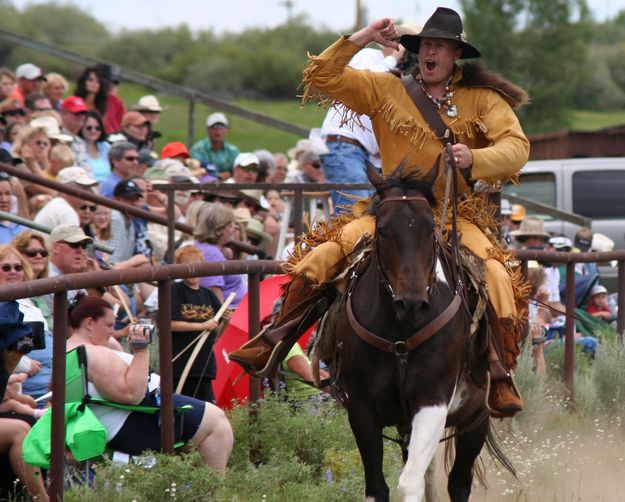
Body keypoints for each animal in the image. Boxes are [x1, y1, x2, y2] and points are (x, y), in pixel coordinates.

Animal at [326, 166, 512, 502]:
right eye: (383, 230)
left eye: (429, 230)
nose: (411, 303)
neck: (399, 334)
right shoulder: (361, 409)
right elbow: (378, 487)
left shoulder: (432, 401)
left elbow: (410, 482)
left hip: (475, 419)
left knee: (458, 481)